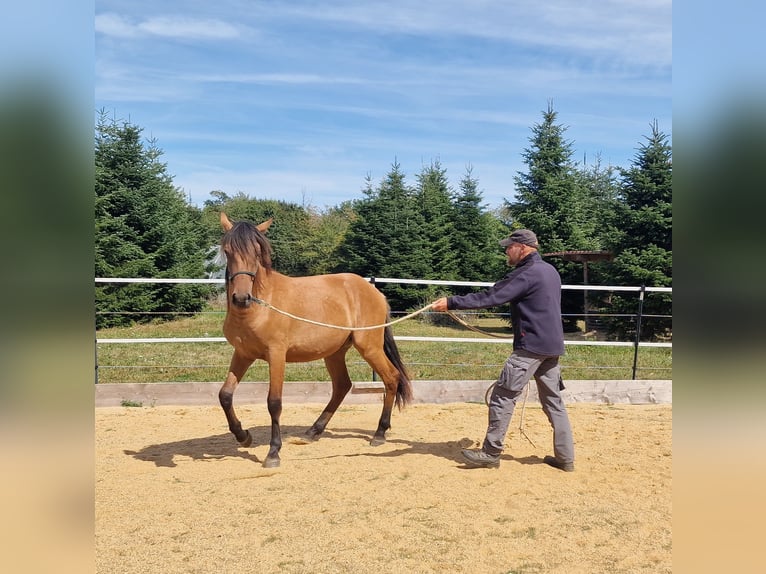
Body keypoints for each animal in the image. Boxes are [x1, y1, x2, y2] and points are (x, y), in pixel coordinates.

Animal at [218, 212, 413, 467]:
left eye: (257, 252)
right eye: (228, 250)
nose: (241, 298)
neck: (258, 308)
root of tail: (375, 292)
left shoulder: (276, 355)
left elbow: (274, 402)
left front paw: (273, 452)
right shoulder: (243, 354)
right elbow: (225, 395)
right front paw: (243, 436)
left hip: (369, 347)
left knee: (391, 378)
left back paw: (379, 433)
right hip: (335, 353)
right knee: (342, 386)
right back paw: (313, 431)